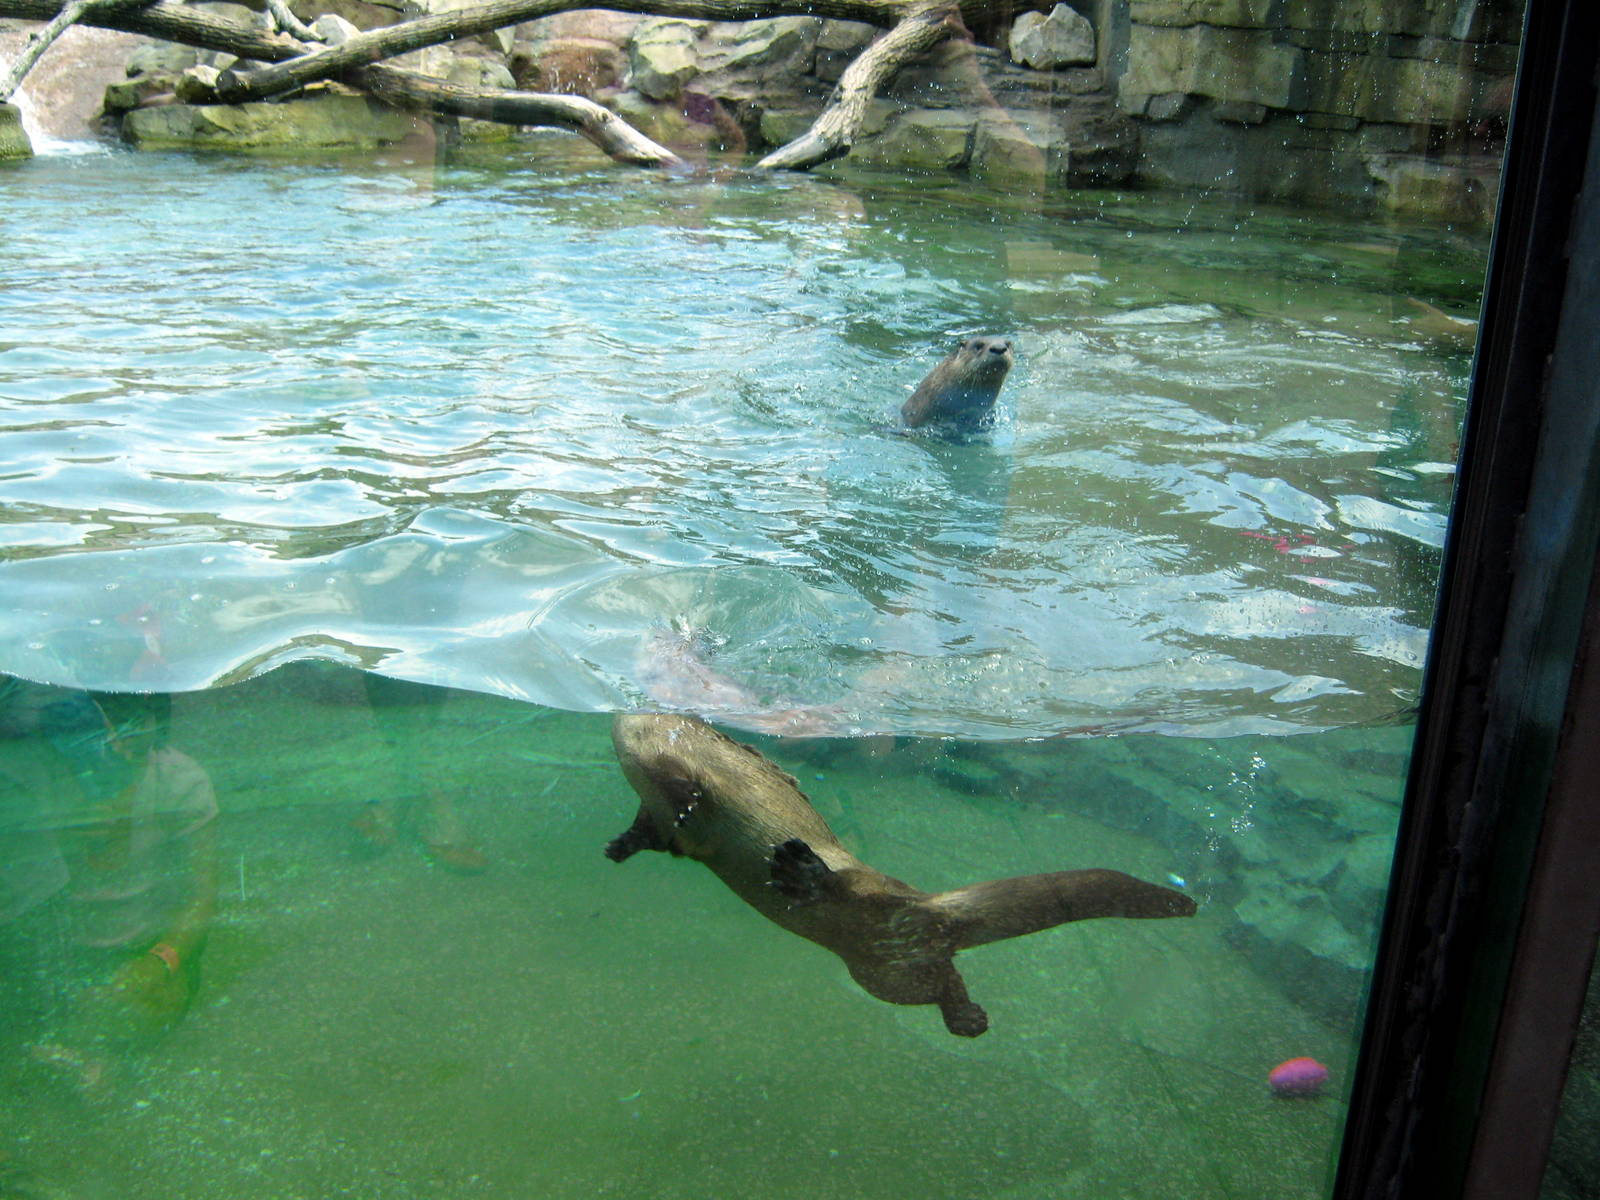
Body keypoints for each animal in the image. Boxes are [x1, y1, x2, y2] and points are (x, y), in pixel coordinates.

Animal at [606, 713, 1196, 1037]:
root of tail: (928, 906)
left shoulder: (686, 760)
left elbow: (691, 792)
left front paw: (687, 802)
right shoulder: (655, 810)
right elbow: (653, 834)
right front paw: (618, 846)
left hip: (871, 897)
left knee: (850, 889)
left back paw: (801, 872)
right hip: (887, 976)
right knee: (941, 979)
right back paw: (970, 1019)